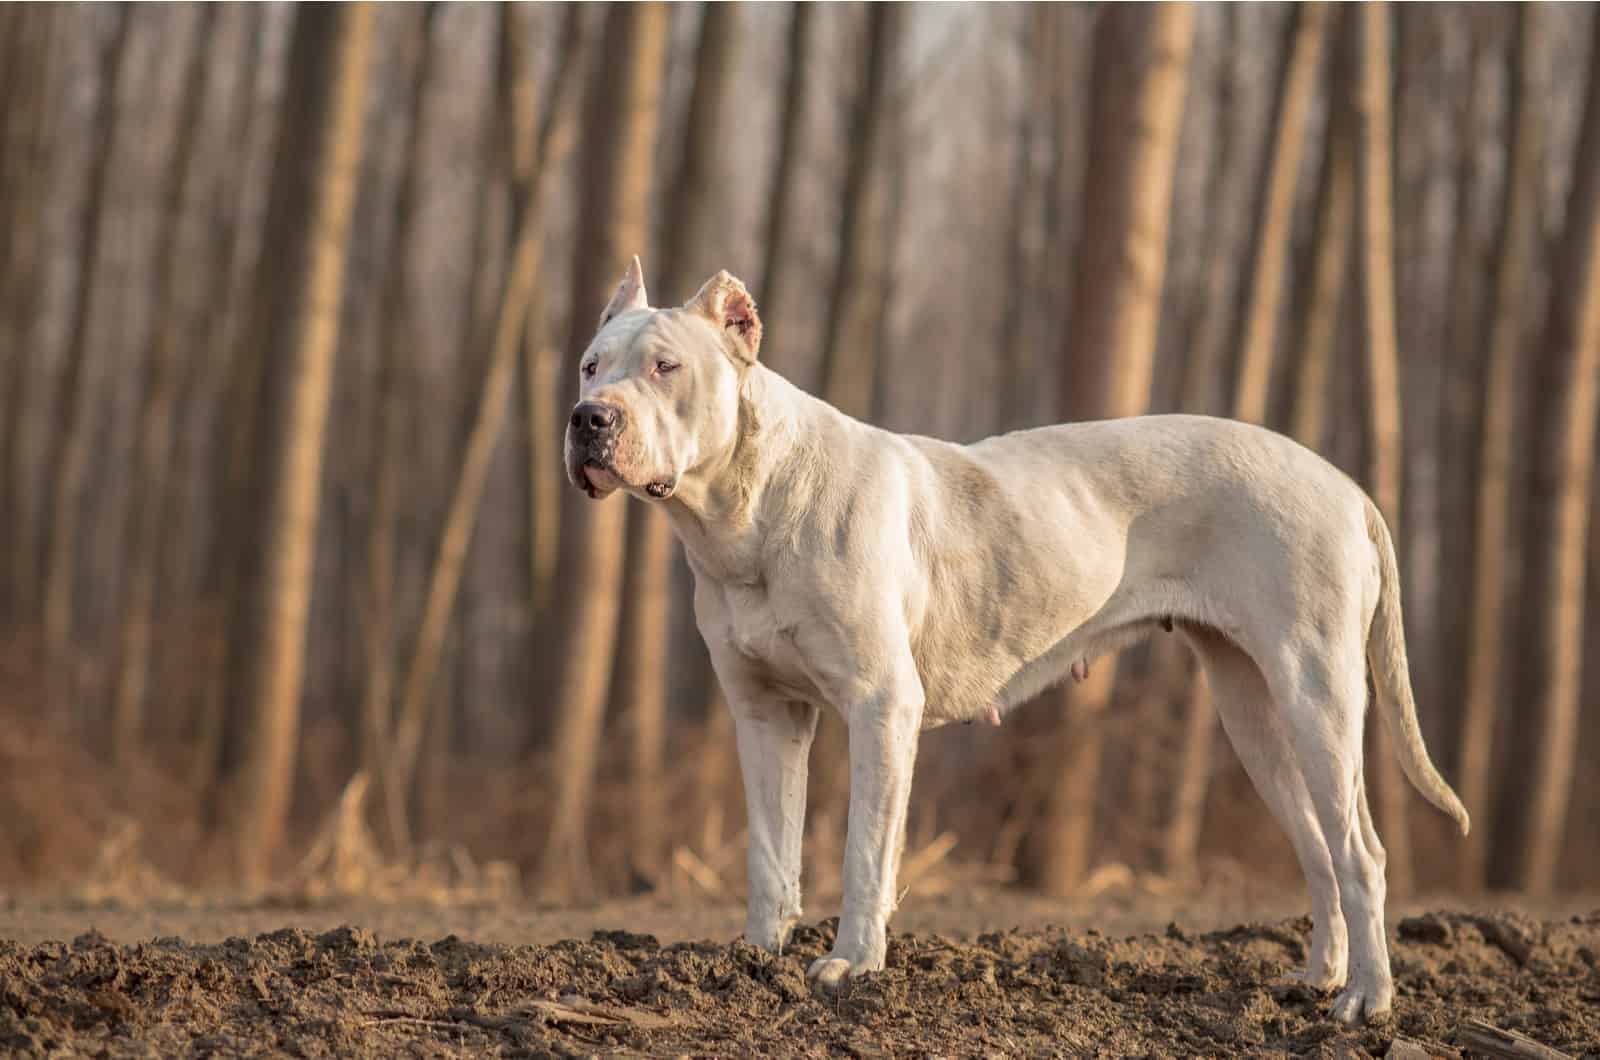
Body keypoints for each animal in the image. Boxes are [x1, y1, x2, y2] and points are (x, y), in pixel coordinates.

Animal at [560, 259, 1465, 1031]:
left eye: (666, 368)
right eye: (590, 367)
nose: (587, 419)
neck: (745, 509)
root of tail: (1345, 486)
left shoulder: (881, 708)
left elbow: (864, 850)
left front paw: (852, 966)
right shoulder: (765, 714)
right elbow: (768, 850)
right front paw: (754, 959)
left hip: (1317, 695)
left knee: (1361, 852)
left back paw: (1367, 1002)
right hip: (1254, 712)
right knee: (1318, 848)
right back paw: (1320, 978)